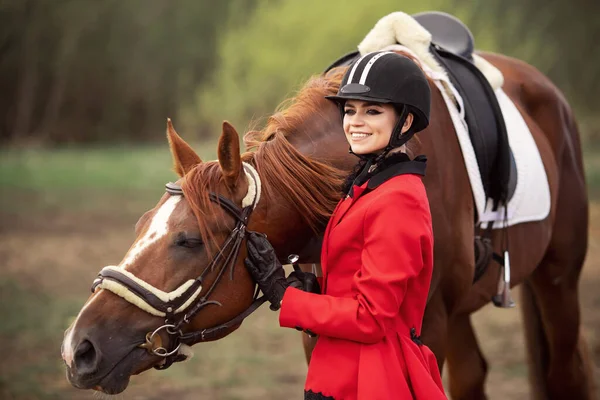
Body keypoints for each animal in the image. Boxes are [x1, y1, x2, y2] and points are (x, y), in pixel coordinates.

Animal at [62, 50, 596, 400]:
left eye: (189, 240)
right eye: (141, 225)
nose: (77, 348)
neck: (371, 170)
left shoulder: (426, 327)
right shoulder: (320, 326)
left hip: (557, 279)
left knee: (564, 372)